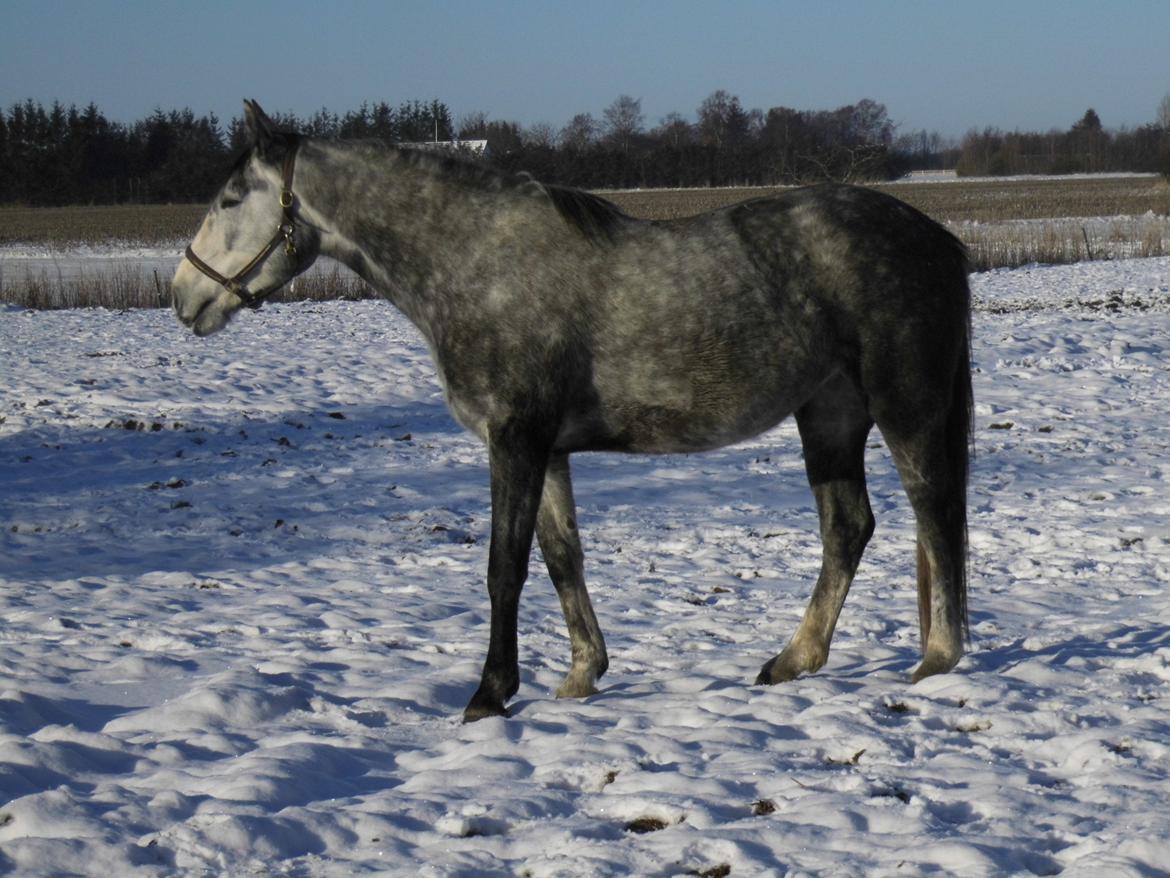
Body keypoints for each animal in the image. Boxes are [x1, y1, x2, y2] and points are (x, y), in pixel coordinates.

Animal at [170, 101, 978, 721]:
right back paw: (792, 659)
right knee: (849, 528)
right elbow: (562, 558)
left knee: (933, 510)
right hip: (829, 415)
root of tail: (939, 239)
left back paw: (937, 659)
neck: (475, 262)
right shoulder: (548, 448)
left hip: (903, 406)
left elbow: (504, 567)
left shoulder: (514, 441)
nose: (184, 296)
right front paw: (581, 675)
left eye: (230, 199)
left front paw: (489, 694)